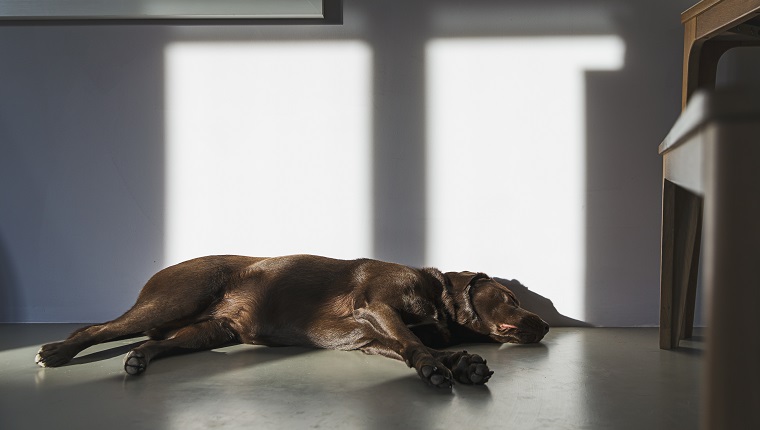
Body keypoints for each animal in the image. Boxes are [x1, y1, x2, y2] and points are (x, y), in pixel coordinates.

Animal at [35, 254, 548, 388]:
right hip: (174, 299)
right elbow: (417, 346)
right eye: (509, 297)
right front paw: (438, 368)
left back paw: (140, 359)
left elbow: (412, 344)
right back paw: (55, 351)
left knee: (157, 343)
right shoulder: (377, 309)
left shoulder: (367, 336)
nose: (543, 325)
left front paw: (462, 362)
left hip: (211, 329)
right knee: (95, 329)